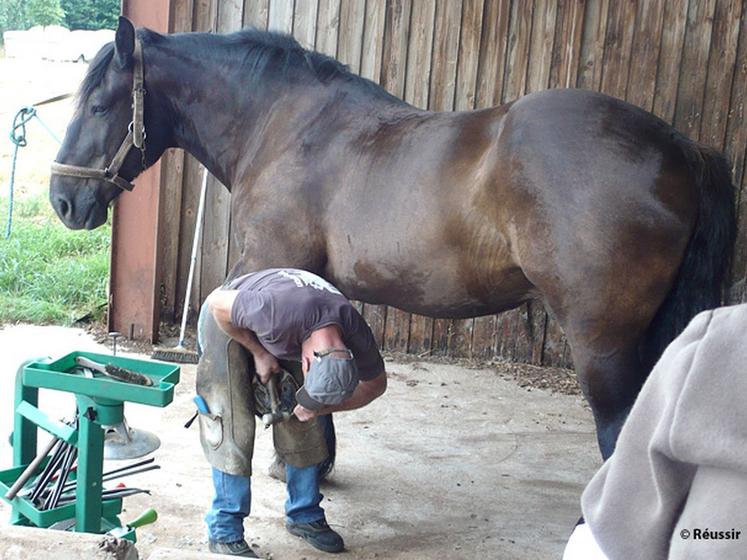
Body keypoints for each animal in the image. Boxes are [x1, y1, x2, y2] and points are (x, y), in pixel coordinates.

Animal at [48, 17, 736, 460]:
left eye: (101, 105)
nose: (63, 201)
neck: (284, 126)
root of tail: (681, 148)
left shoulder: (264, 263)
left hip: (603, 345)